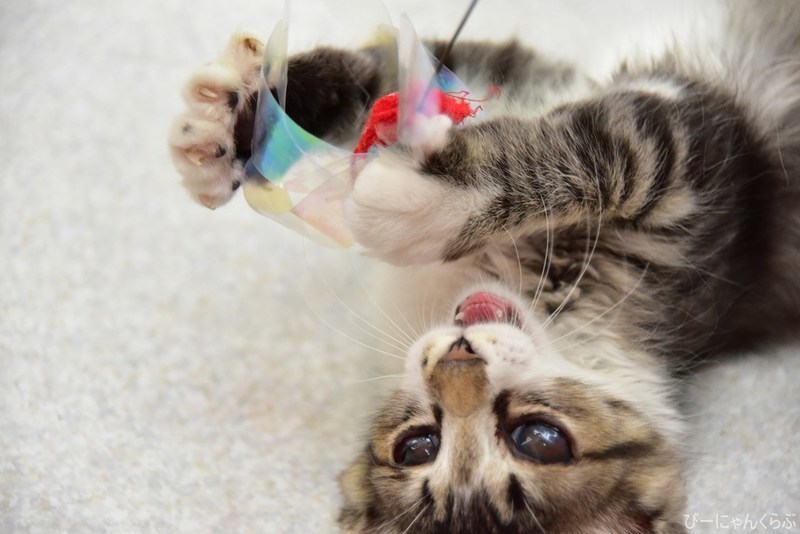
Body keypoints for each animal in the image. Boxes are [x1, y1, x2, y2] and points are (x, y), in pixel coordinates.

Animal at [168, 1, 800, 532]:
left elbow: (596, 151)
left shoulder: (694, 173)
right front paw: (234, 114)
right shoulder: (529, 73)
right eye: (418, 446)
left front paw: (426, 202)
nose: (459, 357)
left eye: (540, 440)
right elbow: (396, 75)